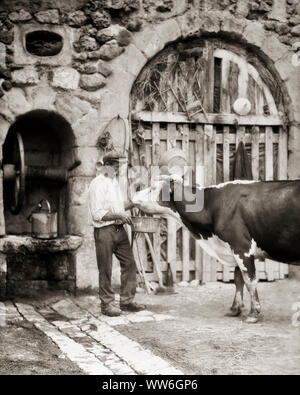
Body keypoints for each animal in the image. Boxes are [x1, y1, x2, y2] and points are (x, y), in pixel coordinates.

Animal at [134, 178, 300, 324]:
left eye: (153, 188)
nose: (134, 193)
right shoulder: (233, 249)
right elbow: (238, 279)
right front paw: (235, 309)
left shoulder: (242, 247)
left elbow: (249, 281)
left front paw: (253, 314)